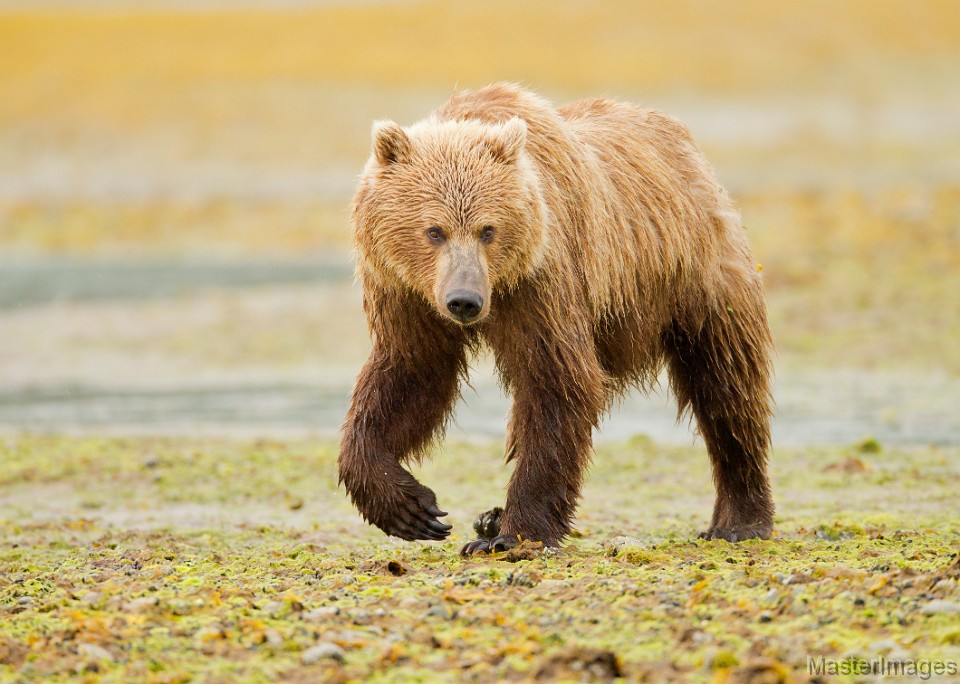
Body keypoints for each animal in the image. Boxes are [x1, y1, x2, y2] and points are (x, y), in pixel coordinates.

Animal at [338, 84, 772, 556]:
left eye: (488, 230)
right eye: (434, 231)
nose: (464, 301)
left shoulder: (542, 280)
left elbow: (557, 383)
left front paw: (512, 534)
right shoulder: (406, 293)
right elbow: (410, 376)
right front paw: (410, 507)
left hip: (699, 277)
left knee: (726, 388)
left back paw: (739, 520)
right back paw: (487, 518)